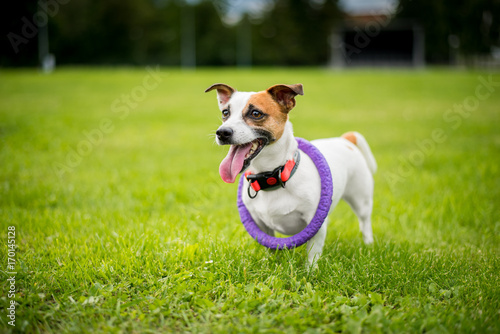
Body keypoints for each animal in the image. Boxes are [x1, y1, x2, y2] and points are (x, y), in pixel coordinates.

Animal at [204, 83, 376, 266]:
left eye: (256, 113)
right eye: (225, 113)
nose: (222, 132)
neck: (273, 177)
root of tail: (345, 140)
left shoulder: (315, 222)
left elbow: (313, 251)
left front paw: (310, 270)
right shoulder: (261, 224)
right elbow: (269, 245)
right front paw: (271, 264)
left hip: (361, 199)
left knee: (364, 222)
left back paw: (368, 245)